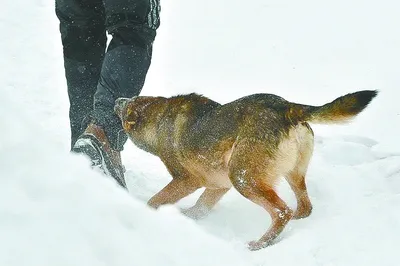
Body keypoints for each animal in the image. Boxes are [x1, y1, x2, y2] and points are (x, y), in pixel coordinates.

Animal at [113, 90, 378, 250]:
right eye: (130, 98)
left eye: (125, 107)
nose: (116, 100)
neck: (159, 119)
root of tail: (286, 107)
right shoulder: (218, 185)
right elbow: (199, 208)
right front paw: (185, 218)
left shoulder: (187, 180)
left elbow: (155, 200)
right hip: (290, 174)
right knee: (303, 207)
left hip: (243, 178)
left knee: (282, 211)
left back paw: (260, 244)